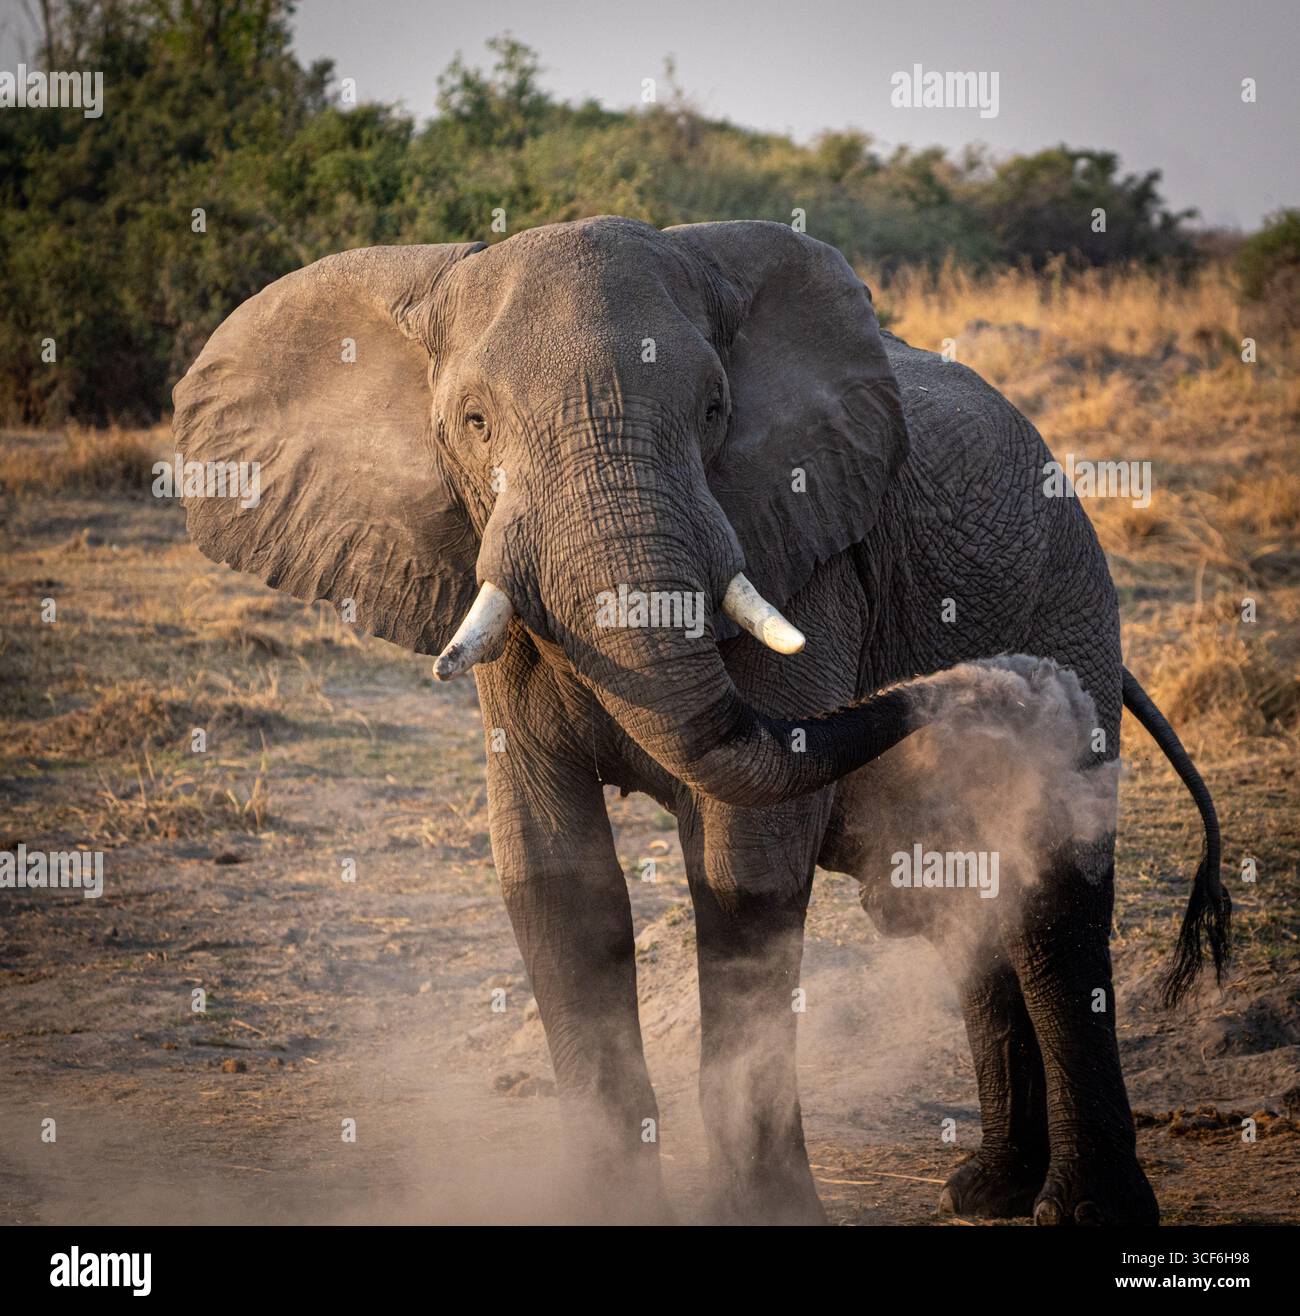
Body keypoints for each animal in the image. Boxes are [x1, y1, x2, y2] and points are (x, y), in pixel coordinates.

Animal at [172, 217, 1229, 1226]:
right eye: (473, 423)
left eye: (715, 413)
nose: (1006, 685)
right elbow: (558, 879)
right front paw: (610, 1208)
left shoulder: (808, 556)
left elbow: (747, 870)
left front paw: (769, 1212)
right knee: (960, 897)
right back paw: (984, 1193)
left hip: (1072, 593)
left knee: (1051, 907)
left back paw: (1082, 1207)